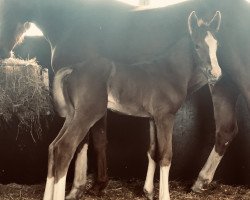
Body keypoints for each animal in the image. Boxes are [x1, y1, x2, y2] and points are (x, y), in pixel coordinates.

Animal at [47, 11, 223, 199]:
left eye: (217, 45)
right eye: (197, 46)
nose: (216, 73)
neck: (169, 72)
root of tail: (74, 69)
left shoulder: (153, 118)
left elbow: (153, 151)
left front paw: (148, 191)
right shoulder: (166, 117)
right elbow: (166, 155)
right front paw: (163, 195)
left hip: (73, 114)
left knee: (53, 147)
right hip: (88, 113)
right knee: (65, 147)